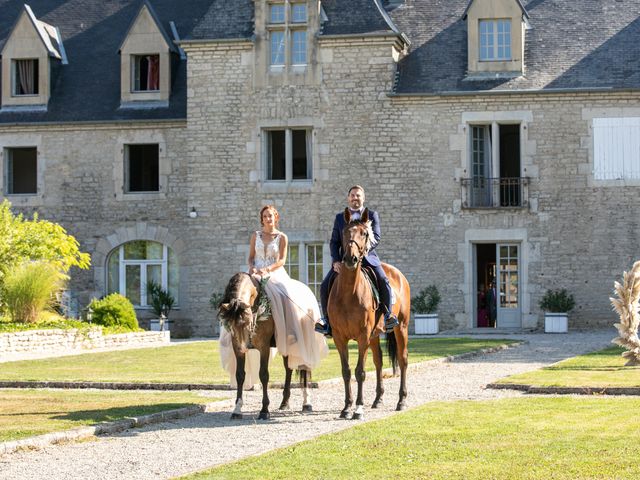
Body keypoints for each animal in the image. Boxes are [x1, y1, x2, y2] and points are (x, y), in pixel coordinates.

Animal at [218, 274, 312, 420]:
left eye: (247, 322)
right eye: (230, 324)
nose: (244, 346)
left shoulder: (264, 348)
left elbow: (263, 375)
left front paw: (264, 410)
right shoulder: (236, 348)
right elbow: (240, 375)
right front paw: (237, 409)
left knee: (304, 368)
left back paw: (306, 403)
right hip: (286, 345)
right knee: (288, 369)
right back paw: (285, 402)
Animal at [328, 208, 412, 418]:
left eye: (365, 233)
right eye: (344, 232)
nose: (350, 259)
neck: (348, 292)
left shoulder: (363, 336)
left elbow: (360, 372)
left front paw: (358, 408)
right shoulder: (339, 337)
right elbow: (346, 371)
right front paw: (347, 407)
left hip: (401, 328)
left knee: (403, 359)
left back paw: (401, 401)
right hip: (374, 335)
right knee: (379, 361)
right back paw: (377, 399)